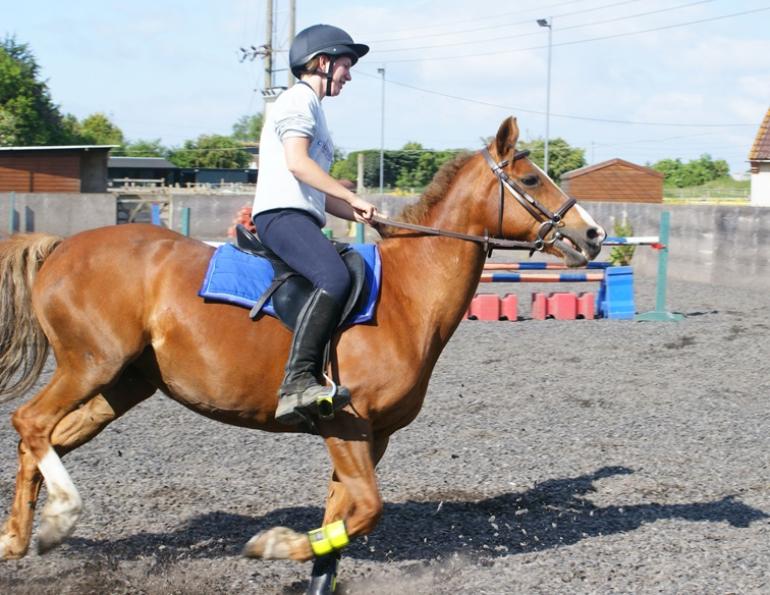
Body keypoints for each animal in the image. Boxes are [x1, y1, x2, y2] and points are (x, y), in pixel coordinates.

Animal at [0, 116, 604, 592]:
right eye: (530, 179)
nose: (593, 234)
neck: (407, 294)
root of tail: (62, 246)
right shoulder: (345, 423)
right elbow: (367, 510)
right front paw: (270, 545)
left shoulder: (370, 437)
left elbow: (343, 522)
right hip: (91, 365)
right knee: (30, 422)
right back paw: (59, 517)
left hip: (124, 384)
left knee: (45, 438)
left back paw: (20, 536)